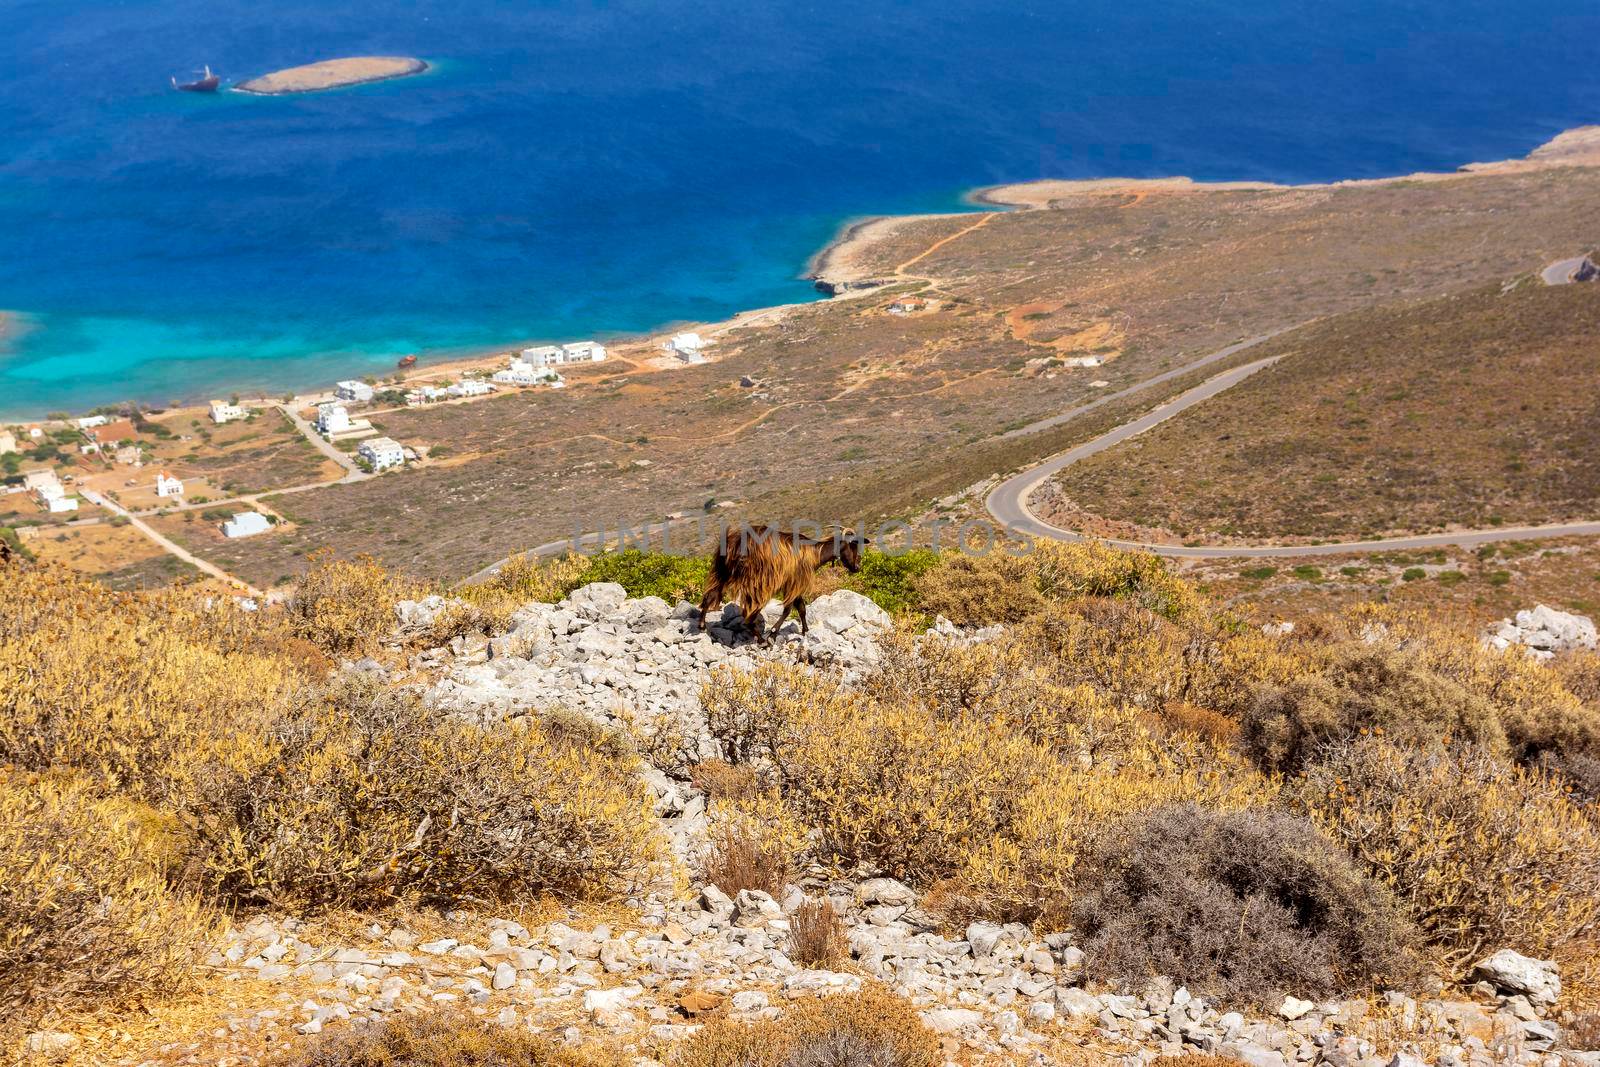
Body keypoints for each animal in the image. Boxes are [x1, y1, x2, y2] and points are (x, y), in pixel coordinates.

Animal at [697, 524, 870, 643]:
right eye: (853, 545)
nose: (857, 567)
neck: (815, 552)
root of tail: (735, 543)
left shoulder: (794, 583)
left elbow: (801, 608)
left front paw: (805, 632)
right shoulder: (794, 582)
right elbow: (789, 610)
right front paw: (773, 633)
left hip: (722, 572)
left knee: (710, 595)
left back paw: (702, 626)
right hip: (757, 581)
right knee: (748, 614)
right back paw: (761, 640)